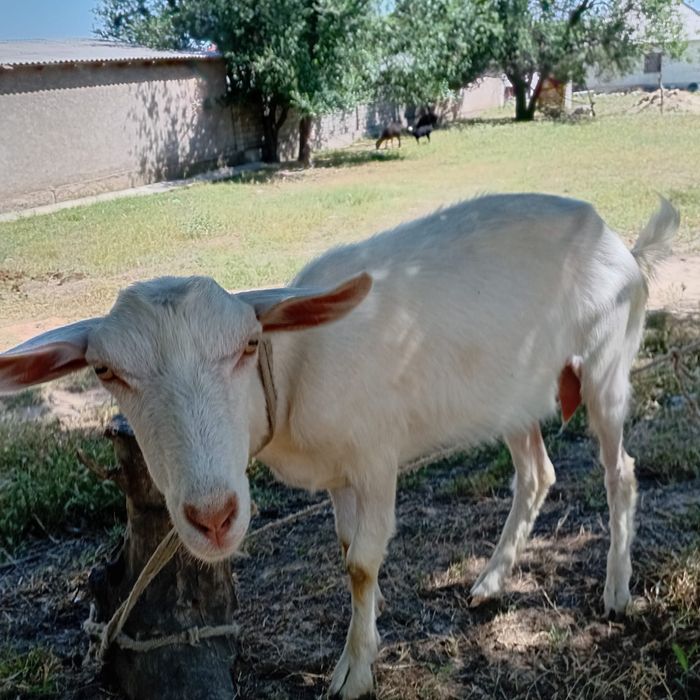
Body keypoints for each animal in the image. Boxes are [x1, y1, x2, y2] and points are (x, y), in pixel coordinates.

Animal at [0, 194, 679, 699]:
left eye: (248, 345)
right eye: (105, 372)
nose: (213, 517)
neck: (293, 370)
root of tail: (621, 245)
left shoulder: (375, 457)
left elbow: (362, 562)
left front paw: (353, 673)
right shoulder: (338, 474)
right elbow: (348, 550)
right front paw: (365, 646)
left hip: (606, 365)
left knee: (620, 470)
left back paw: (616, 590)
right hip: (511, 390)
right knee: (536, 474)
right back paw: (491, 580)